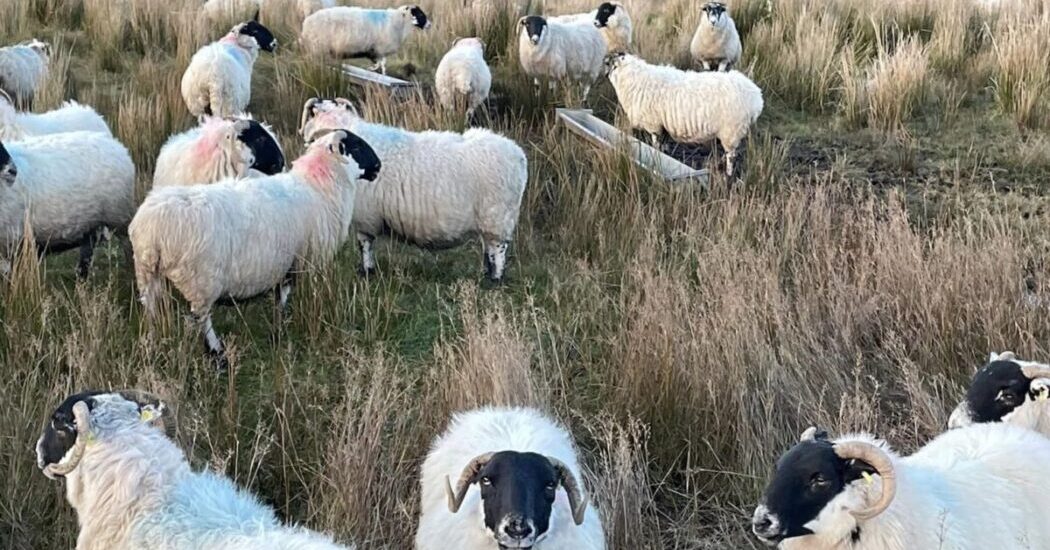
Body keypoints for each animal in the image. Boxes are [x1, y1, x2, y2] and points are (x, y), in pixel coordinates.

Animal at [0, 131, 134, 278]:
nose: (12, 171)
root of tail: (115, 143)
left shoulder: (12, 240)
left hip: (119, 215)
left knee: (128, 244)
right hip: (91, 221)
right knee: (88, 246)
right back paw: (82, 278)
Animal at [129, 130, 380, 369]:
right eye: (357, 146)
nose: (378, 166)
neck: (318, 185)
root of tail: (152, 228)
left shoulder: (286, 264)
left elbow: (281, 297)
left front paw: (279, 326)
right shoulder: (305, 260)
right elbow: (291, 296)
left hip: (147, 275)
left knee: (152, 310)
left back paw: (152, 344)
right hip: (200, 280)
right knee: (201, 318)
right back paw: (217, 353)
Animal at [299, 97, 528, 282]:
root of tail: (518, 155)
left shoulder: (365, 216)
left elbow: (365, 245)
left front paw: (366, 271)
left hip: (497, 217)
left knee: (498, 251)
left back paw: (495, 280)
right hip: (490, 219)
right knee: (488, 248)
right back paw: (486, 273)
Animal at [300, 5, 430, 75]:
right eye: (420, 14)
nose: (429, 25)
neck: (399, 21)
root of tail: (306, 24)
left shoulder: (376, 50)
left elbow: (379, 63)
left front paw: (375, 70)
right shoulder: (381, 48)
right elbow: (382, 64)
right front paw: (380, 72)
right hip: (317, 46)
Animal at [605, 53, 763, 176]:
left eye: (609, 63)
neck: (633, 78)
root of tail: (756, 97)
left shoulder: (654, 125)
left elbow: (656, 144)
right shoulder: (663, 125)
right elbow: (664, 144)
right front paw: (665, 154)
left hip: (731, 131)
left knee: (732, 156)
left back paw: (728, 174)